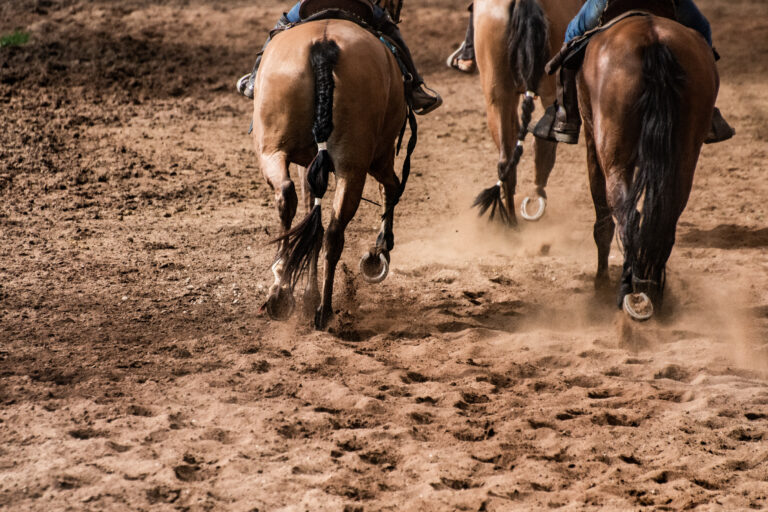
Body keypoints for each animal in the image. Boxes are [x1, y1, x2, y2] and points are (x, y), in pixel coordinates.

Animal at [251, 16, 410, 329]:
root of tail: (324, 46)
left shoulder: (309, 163)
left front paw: (306, 291)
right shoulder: (381, 155)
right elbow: (391, 187)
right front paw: (380, 249)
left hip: (273, 151)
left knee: (289, 198)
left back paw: (282, 290)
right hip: (355, 166)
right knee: (335, 230)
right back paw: (323, 307)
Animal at [472, 0, 584, 225]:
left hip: (498, 96)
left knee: (506, 160)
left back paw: (511, 221)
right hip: (550, 90)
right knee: (544, 143)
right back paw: (535, 198)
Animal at [578, 8, 719, 320]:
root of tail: (654, 40)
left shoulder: (591, 139)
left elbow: (602, 220)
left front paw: (599, 285)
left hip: (613, 155)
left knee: (625, 214)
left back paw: (628, 290)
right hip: (683, 154)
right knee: (665, 214)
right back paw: (651, 289)